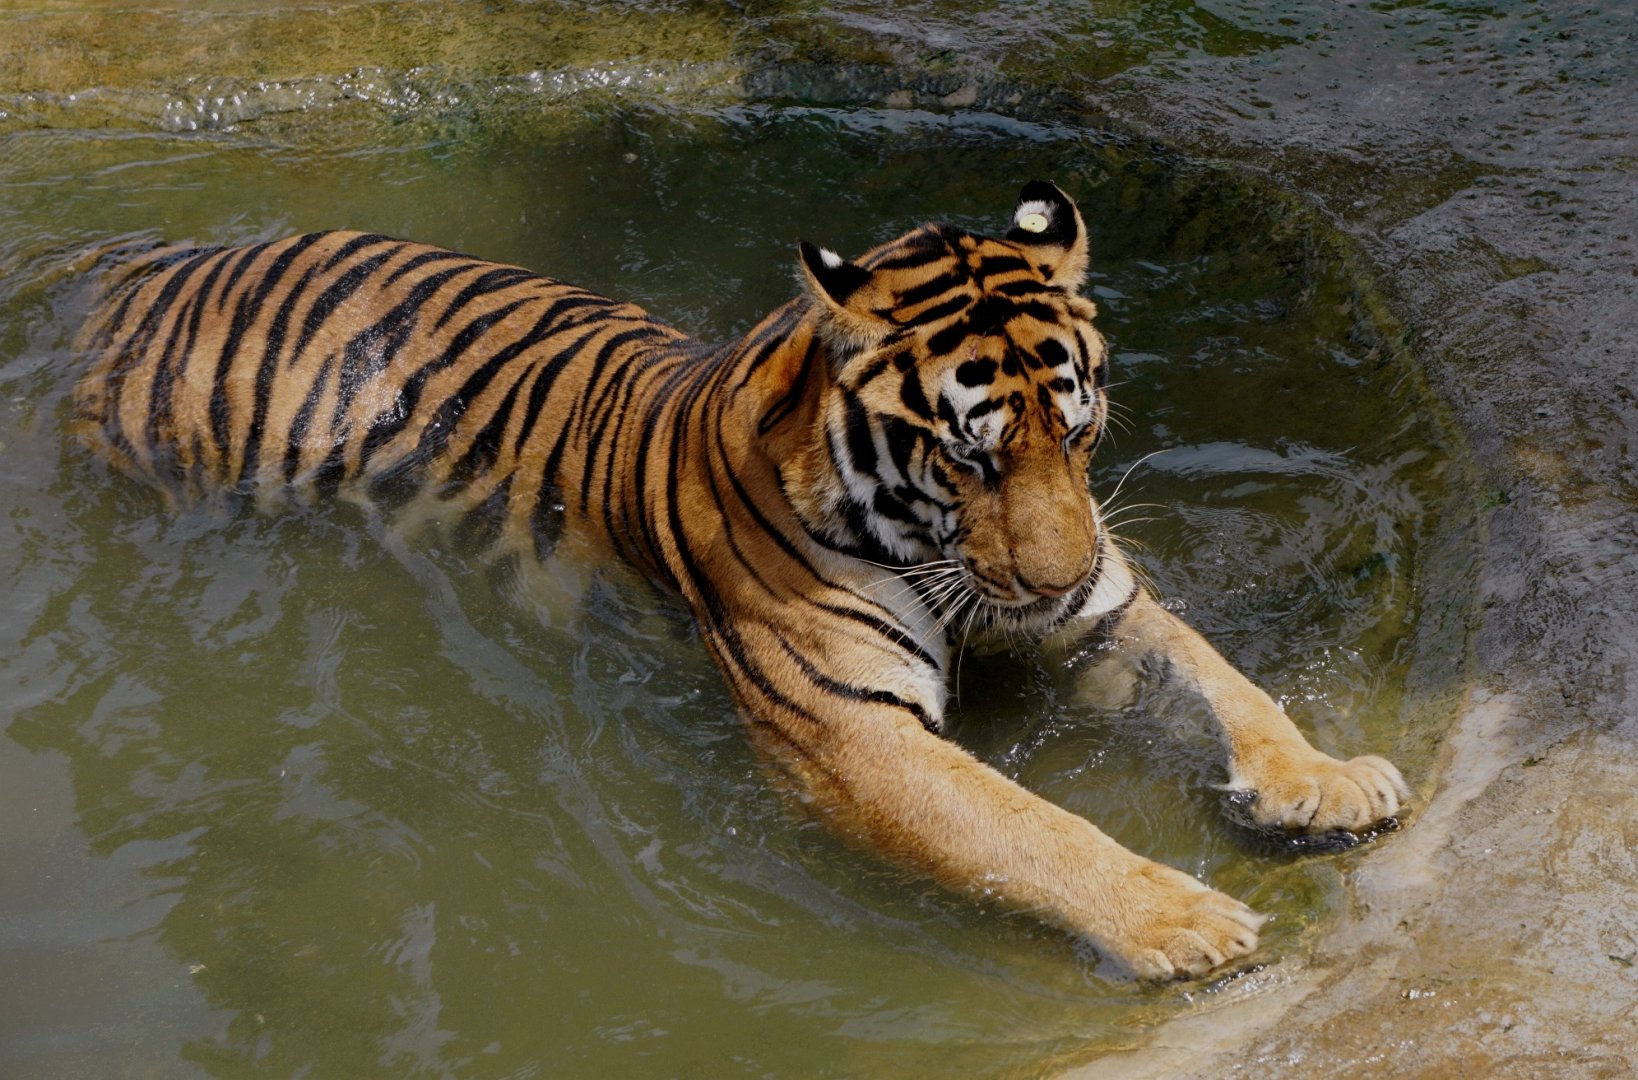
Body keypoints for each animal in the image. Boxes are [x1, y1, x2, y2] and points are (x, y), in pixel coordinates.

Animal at [73, 181, 1409, 979]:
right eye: (971, 454)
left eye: (1074, 435)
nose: (1059, 573)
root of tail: (151, 264)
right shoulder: (849, 731)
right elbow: (1032, 828)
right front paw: (1182, 918)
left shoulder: (1093, 618)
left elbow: (1227, 679)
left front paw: (1327, 778)